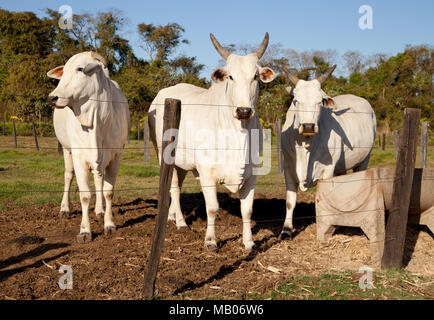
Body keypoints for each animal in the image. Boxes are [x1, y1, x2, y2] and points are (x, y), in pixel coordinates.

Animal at [46, 52, 131, 242]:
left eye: (80, 68)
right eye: (64, 71)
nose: (52, 98)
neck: (98, 120)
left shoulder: (116, 156)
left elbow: (108, 191)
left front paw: (109, 224)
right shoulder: (79, 157)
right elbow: (85, 195)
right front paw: (85, 230)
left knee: (98, 179)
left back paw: (99, 210)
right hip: (67, 150)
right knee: (68, 176)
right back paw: (65, 208)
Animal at [147, 32, 276, 249]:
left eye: (255, 76)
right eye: (230, 76)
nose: (243, 110)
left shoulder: (252, 174)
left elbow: (247, 210)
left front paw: (249, 242)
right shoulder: (207, 173)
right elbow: (213, 208)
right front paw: (210, 240)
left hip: (183, 163)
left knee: (177, 185)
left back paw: (172, 216)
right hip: (163, 154)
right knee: (173, 187)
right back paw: (180, 221)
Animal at [278, 66, 376, 239]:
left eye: (320, 101)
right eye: (296, 100)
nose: (308, 126)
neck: (306, 145)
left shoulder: (328, 170)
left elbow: (323, 198)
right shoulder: (288, 168)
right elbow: (290, 201)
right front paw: (286, 230)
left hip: (364, 159)